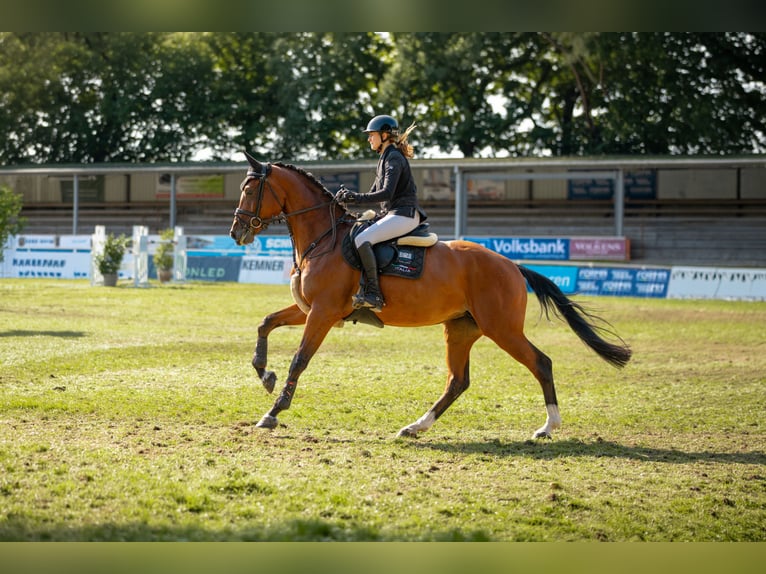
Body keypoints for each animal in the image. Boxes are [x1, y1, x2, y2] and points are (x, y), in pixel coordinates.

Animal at [229, 153, 631, 438]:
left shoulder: (323, 312)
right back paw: (416, 426)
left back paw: (548, 426)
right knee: (458, 381)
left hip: (502, 328)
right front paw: (264, 374)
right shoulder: (312, 309)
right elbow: (266, 323)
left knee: (541, 363)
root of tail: (513, 266)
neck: (322, 238)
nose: (236, 232)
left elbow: (300, 360)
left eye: (249, 190)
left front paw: (272, 413)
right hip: (461, 329)